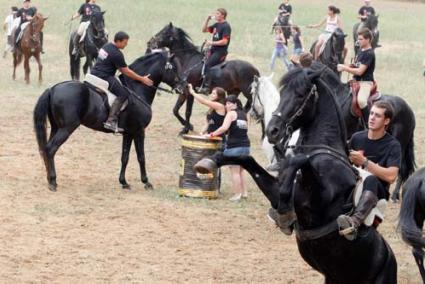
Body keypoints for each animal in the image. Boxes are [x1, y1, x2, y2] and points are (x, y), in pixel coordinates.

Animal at [34, 52, 182, 192]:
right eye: (174, 68)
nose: (182, 87)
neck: (137, 90)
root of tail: (53, 89)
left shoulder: (128, 133)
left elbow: (125, 157)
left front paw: (124, 182)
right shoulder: (139, 131)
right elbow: (141, 157)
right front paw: (146, 182)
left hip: (56, 127)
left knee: (46, 149)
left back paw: (50, 179)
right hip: (66, 128)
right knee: (51, 149)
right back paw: (53, 181)